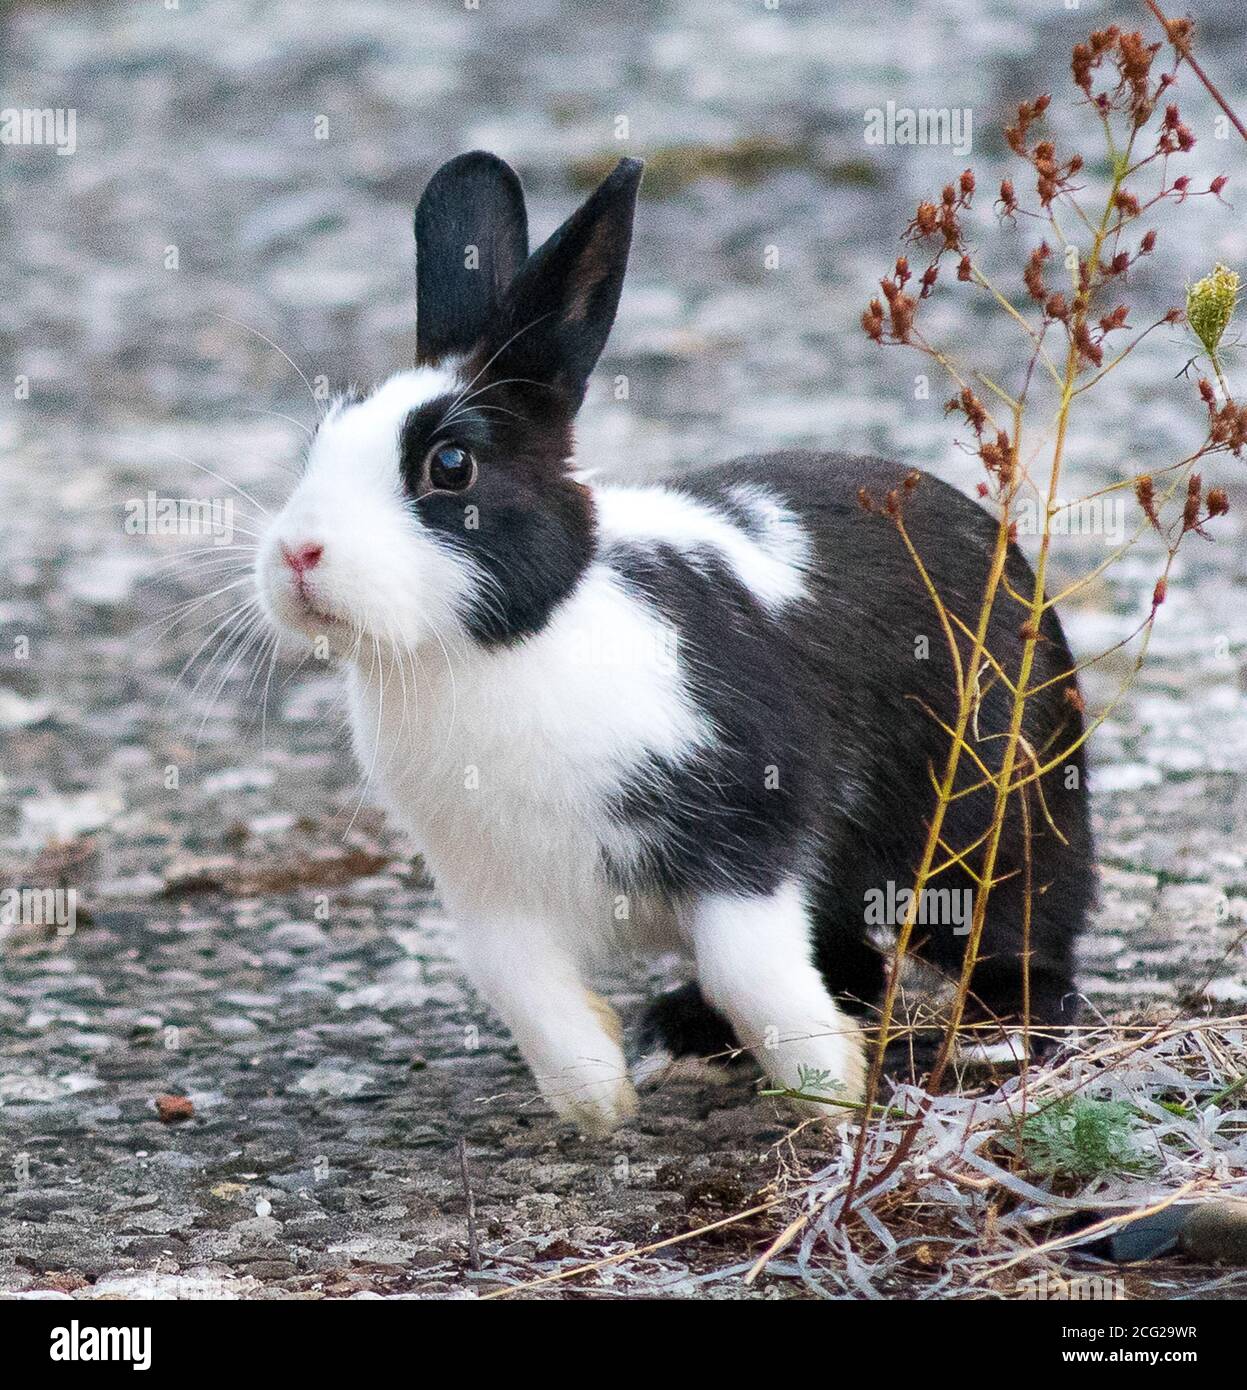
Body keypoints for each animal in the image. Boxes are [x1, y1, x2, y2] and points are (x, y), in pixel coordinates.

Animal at [254, 151, 1094, 1137]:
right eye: (317, 442)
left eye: (450, 466)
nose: (297, 554)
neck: (501, 649)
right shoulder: (489, 896)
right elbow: (529, 998)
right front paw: (597, 1102)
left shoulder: (746, 837)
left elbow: (752, 970)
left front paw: (829, 1094)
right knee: (855, 961)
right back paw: (687, 1035)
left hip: (988, 815)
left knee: (1018, 929)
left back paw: (994, 1037)